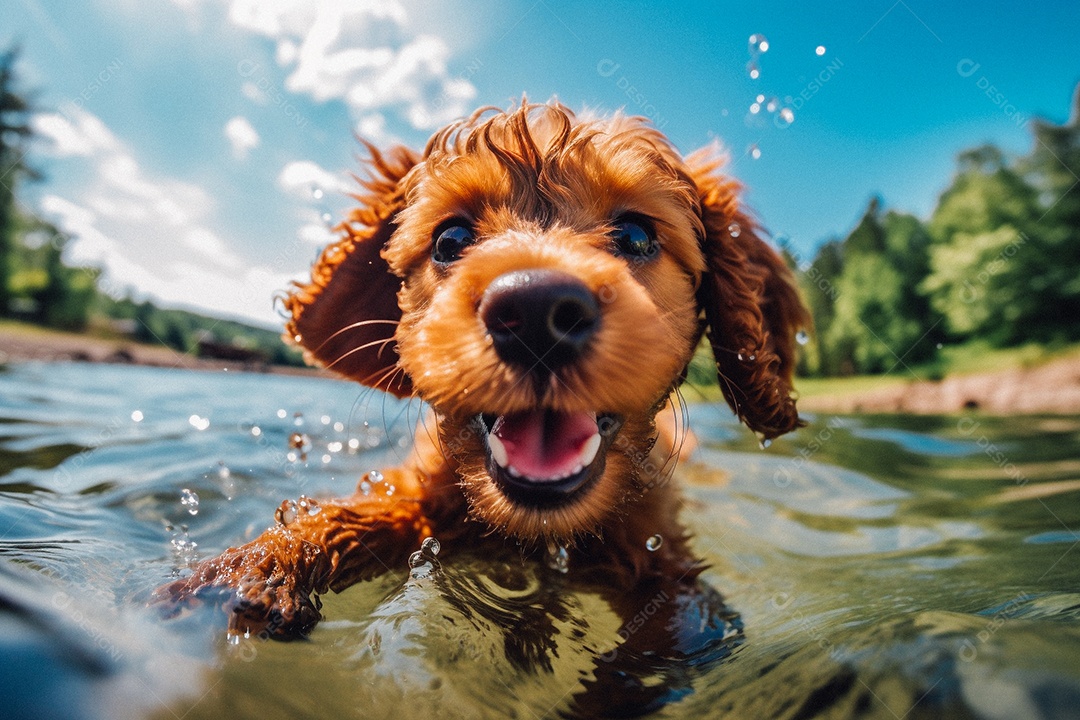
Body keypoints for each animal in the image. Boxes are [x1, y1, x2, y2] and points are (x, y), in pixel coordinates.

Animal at [157, 98, 803, 712]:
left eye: (637, 236)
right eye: (451, 240)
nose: (537, 313)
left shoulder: (672, 572)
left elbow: (653, 649)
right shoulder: (426, 495)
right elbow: (359, 514)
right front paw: (254, 567)